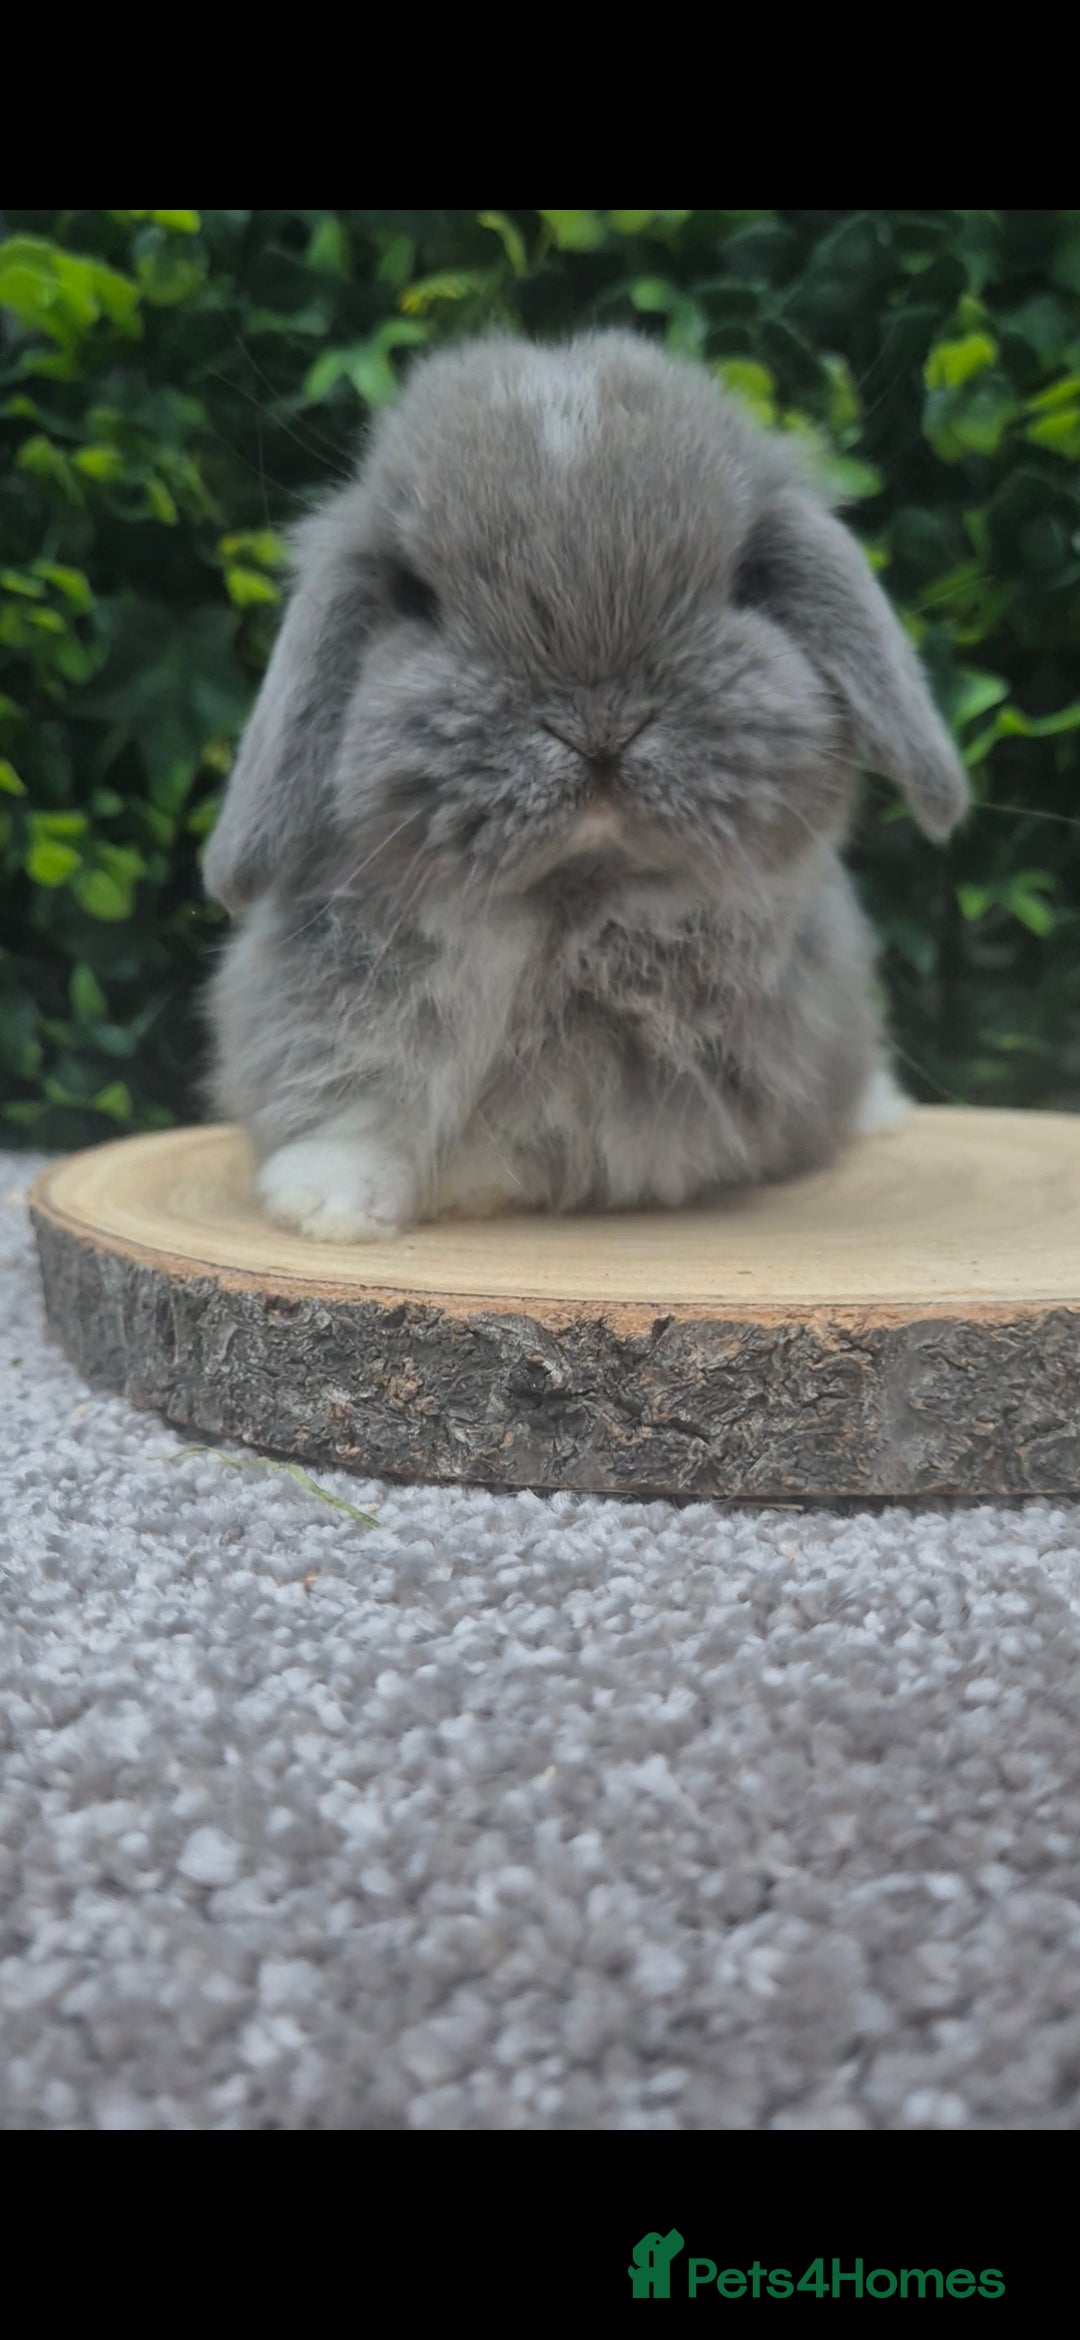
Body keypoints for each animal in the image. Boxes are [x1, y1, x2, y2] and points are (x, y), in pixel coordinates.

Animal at [202, 329, 968, 1242]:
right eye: (413, 597)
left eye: (748, 581)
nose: (598, 727)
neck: (577, 906)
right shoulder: (331, 1003)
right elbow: (351, 1084)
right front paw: (329, 1208)